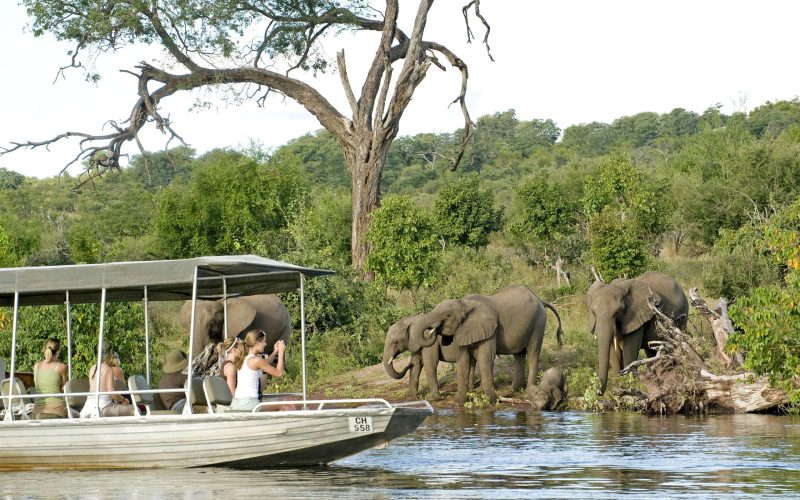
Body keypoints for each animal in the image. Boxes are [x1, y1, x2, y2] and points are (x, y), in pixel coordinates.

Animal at [409, 285, 564, 405]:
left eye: (447, 315)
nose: (433, 330)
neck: (464, 303)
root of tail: (540, 299)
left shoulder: (490, 330)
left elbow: (485, 358)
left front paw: (490, 401)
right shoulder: (465, 330)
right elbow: (463, 361)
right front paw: (459, 403)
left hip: (538, 322)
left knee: (532, 352)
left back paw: (528, 391)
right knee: (519, 355)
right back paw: (512, 390)